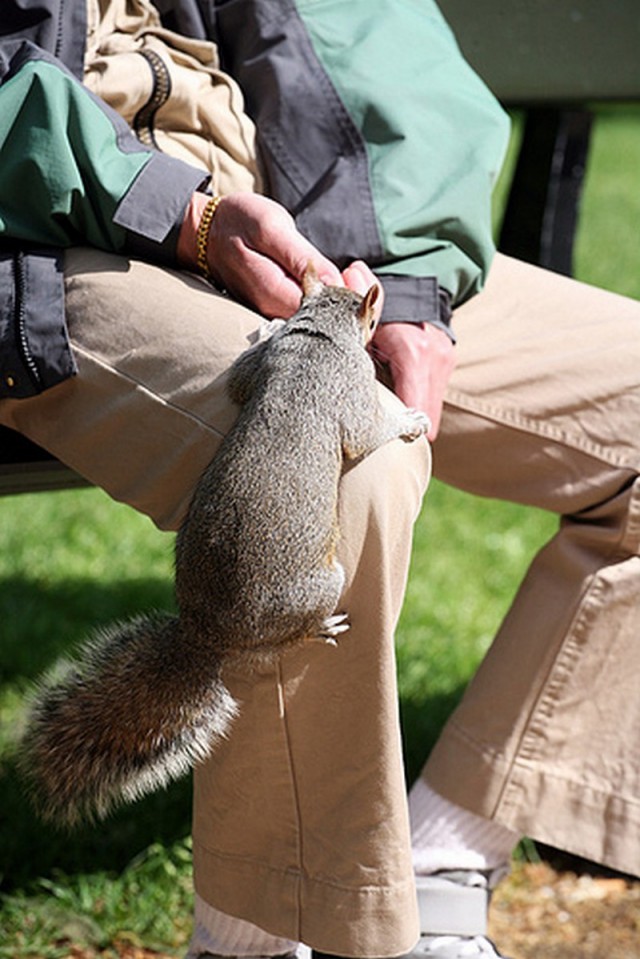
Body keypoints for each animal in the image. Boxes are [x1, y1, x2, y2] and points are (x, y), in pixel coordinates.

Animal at [20, 266, 430, 828]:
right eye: (371, 318)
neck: (318, 339)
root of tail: (208, 636)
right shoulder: (352, 391)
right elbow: (367, 433)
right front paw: (410, 420)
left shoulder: (258, 370)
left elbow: (240, 377)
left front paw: (271, 324)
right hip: (327, 583)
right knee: (294, 636)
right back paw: (322, 627)